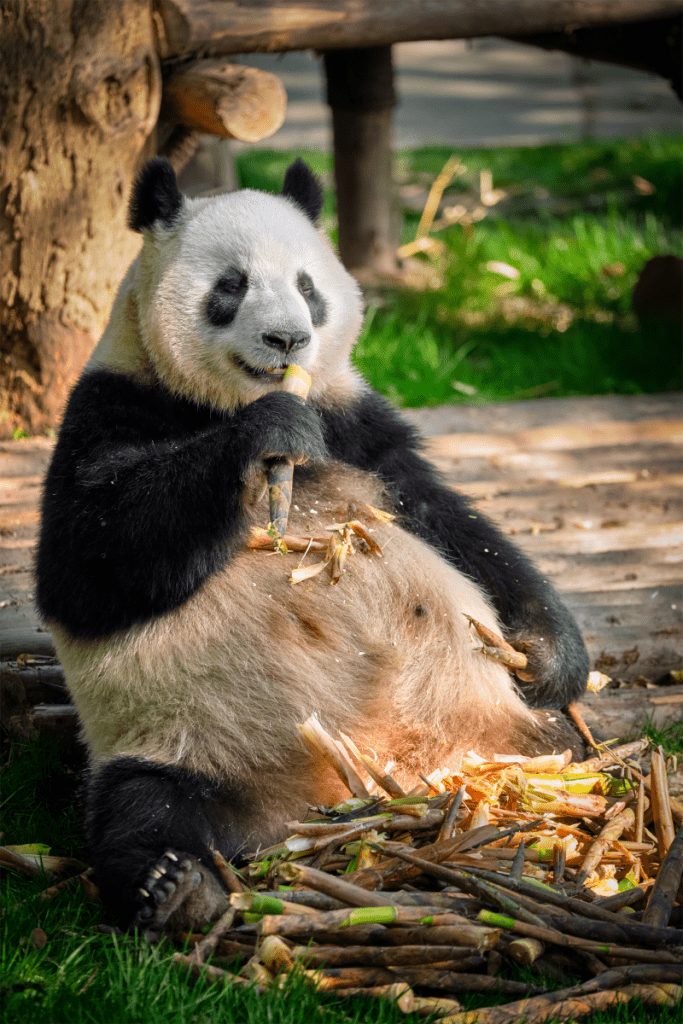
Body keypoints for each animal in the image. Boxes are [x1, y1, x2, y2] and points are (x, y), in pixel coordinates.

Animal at [36, 157, 589, 934]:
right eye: (230, 286)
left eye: (306, 287)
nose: (288, 341)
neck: (215, 403)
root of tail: (345, 794)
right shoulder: (111, 405)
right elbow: (86, 563)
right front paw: (266, 435)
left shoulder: (354, 421)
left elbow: (449, 523)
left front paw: (549, 653)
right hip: (178, 736)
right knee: (142, 806)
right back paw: (176, 887)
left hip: (499, 732)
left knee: (564, 747)